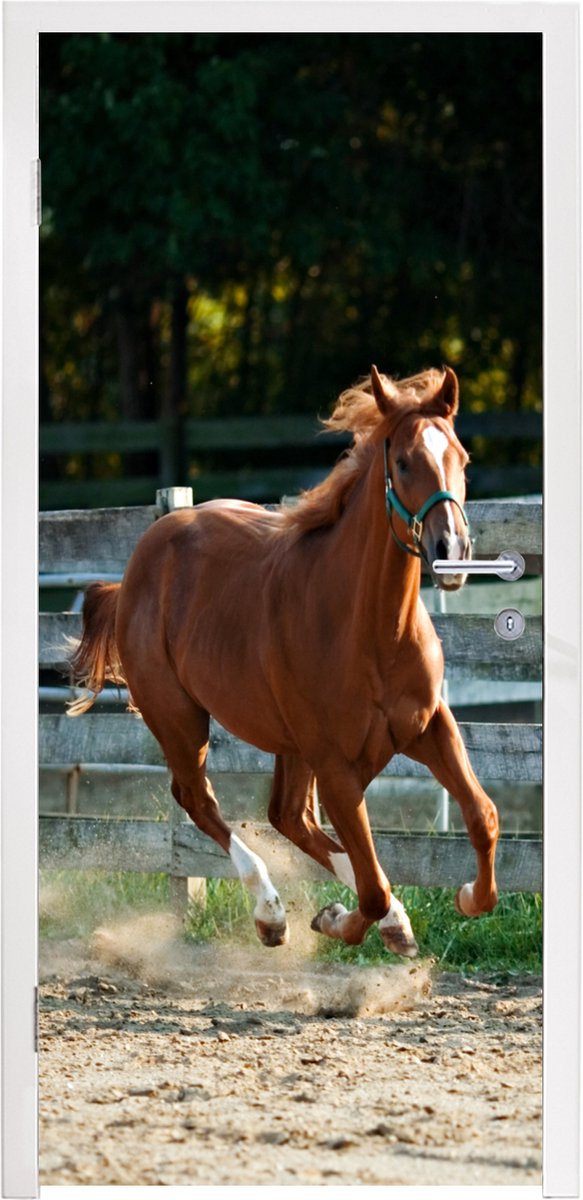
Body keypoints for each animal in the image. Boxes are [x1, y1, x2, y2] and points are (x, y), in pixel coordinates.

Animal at [68, 365, 499, 957]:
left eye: (462, 457)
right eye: (404, 461)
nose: (451, 552)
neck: (373, 632)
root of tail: (136, 568)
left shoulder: (429, 726)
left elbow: (482, 817)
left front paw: (465, 899)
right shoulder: (337, 766)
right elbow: (371, 888)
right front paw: (337, 919)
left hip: (288, 745)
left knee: (287, 816)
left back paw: (386, 921)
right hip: (180, 718)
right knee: (199, 799)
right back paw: (271, 913)